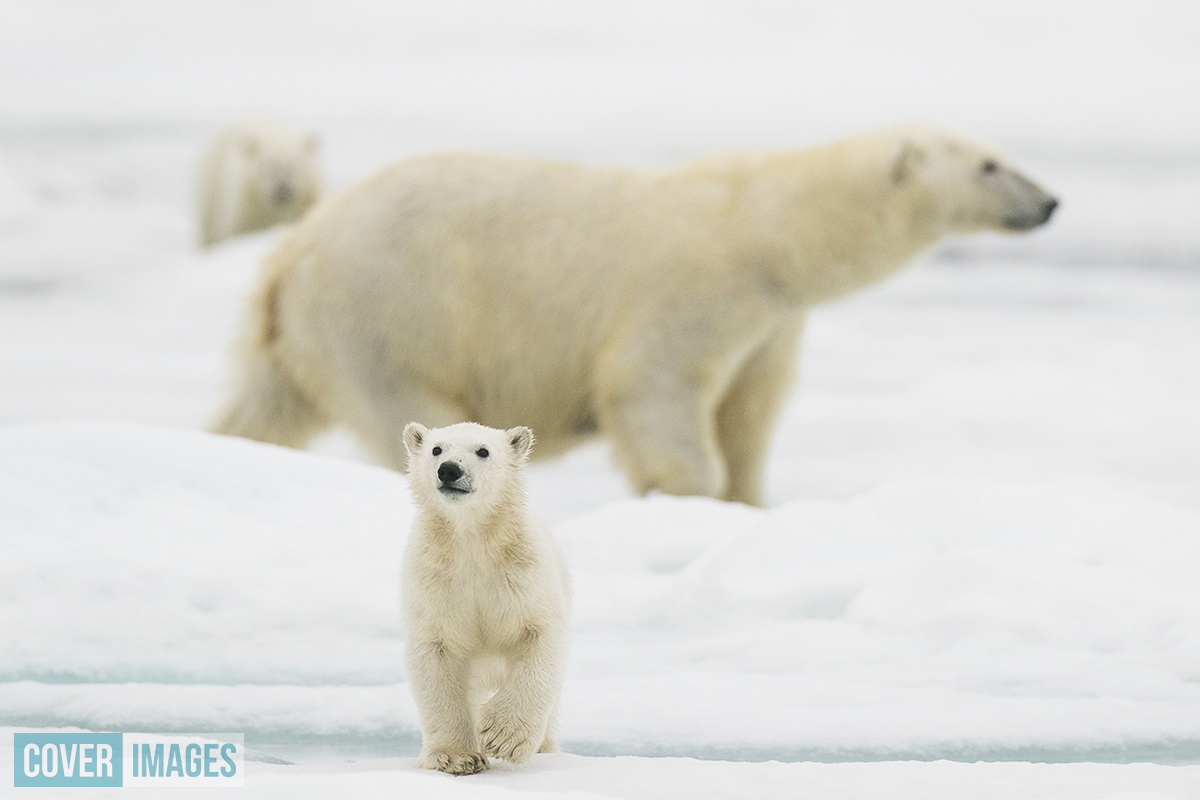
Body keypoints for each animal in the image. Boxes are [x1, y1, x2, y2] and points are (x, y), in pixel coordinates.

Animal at [212, 125, 1057, 506]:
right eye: (989, 164)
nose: (1049, 201)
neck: (766, 230)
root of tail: (294, 251)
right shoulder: (695, 289)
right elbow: (655, 391)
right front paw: (684, 495)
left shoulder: (771, 328)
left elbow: (748, 419)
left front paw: (748, 501)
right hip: (396, 313)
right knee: (414, 409)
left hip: (302, 336)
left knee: (259, 409)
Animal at [401, 422, 570, 775]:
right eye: (436, 449)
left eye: (483, 451)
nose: (449, 469)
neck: (471, 540)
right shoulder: (435, 581)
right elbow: (436, 653)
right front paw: (457, 756)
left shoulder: (522, 573)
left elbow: (540, 637)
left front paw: (503, 736)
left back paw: (545, 747)